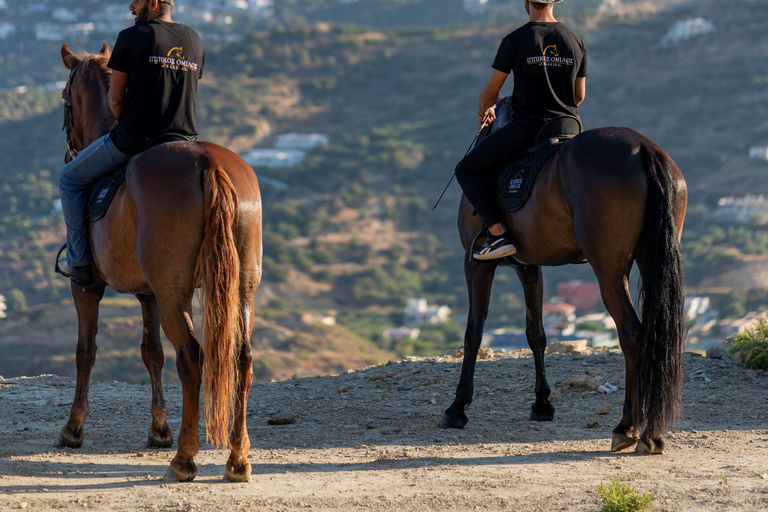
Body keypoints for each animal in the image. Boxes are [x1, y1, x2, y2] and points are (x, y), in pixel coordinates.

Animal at [57, 43, 263, 482]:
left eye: (65, 97)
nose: (69, 149)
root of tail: (209, 165)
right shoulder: (147, 294)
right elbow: (151, 352)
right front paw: (159, 429)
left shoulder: (87, 288)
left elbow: (86, 350)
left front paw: (73, 427)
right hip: (241, 288)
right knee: (242, 357)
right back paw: (237, 458)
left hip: (175, 293)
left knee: (192, 357)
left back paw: (185, 459)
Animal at [438, 96, 687, 455]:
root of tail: (643, 148)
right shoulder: (528, 267)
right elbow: (536, 334)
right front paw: (542, 404)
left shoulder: (476, 265)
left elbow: (473, 332)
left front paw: (457, 408)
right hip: (650, 259)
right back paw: (651, 433)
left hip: (609, 271)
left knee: (632, 332)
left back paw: (627, 427)